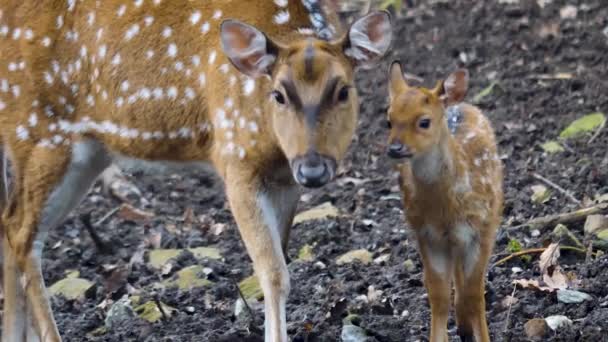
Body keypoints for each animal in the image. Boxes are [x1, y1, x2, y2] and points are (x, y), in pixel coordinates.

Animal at [0, 1, 392, 340]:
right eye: (279, 94)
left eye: (343, 91)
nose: (312, 169)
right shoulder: (235, 159)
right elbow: (273, 273)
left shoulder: (284, 180)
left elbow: (280, 264)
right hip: (39, 133)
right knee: (21, 232)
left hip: (85, 153)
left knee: (10, 222)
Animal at [384, 62, 504, 342]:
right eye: (389, 120)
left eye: (424, 121)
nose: (395, 148)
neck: (443, 209)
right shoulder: (428, 236)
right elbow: (438, 296)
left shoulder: (480, 231)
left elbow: (475, 295)